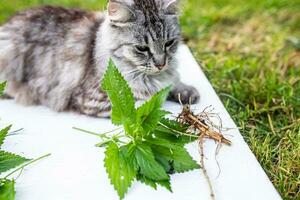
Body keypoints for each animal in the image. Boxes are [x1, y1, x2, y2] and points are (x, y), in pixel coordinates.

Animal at [0, 0, 199, 117]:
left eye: (169, 43)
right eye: (141, 48)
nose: (161, 64)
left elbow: (173, 83)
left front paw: (186, 91)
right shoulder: (92, 99)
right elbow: (144, 101)